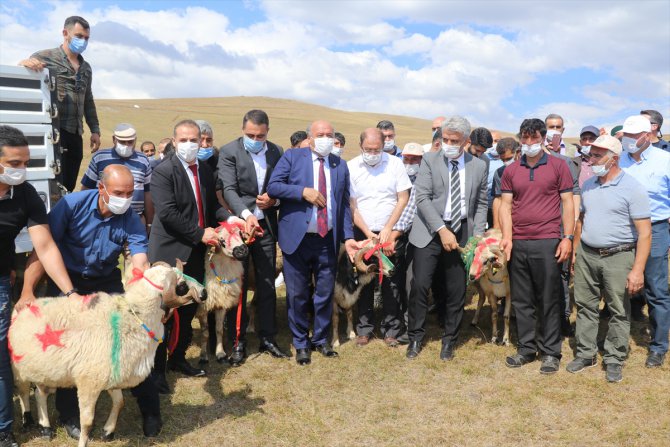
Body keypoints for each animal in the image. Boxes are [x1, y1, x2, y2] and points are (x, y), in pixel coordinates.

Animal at [10, 262, 194, 447]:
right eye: (181, 284)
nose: (200, 294)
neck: (133, 318)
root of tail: (22, 305)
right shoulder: (89, 381)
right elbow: (87, 422)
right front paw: (83, 441)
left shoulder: (113, 375)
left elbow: (120, 402)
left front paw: (108, 431)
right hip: (18, 368)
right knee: (24, 393)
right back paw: (27, 421)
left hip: (44, 368)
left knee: (40, 393)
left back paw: (45, 428)